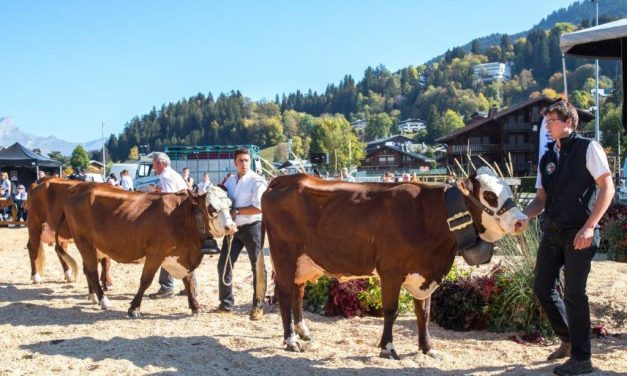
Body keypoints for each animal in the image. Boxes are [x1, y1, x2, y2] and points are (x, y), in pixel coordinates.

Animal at [56, 184, 237, 316]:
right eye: (211, 208)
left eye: (230, 205)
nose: (232, 227)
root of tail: (79, 187)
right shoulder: (155, 254)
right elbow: (146, 280)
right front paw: (134, 308)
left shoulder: (183, 258)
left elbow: (189, 281)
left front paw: (195, 306)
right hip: (83, 241)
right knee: (92, 271)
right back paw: (103, 301)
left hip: (91, 245)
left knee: (87, 269)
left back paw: (93, 296)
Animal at [262, 167, 528, 358]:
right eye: (489, 195)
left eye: (510, 190)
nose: (522, 220)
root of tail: (286, 179)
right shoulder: (390, 271)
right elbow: (391, 310)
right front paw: (388, 348)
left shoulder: (424, 274)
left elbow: (424, 313)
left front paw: (427, 348)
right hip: (284, 256)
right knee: (285, 295)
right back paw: (291, 340)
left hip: (305, 263)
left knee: (298, 293)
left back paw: (304, 333)